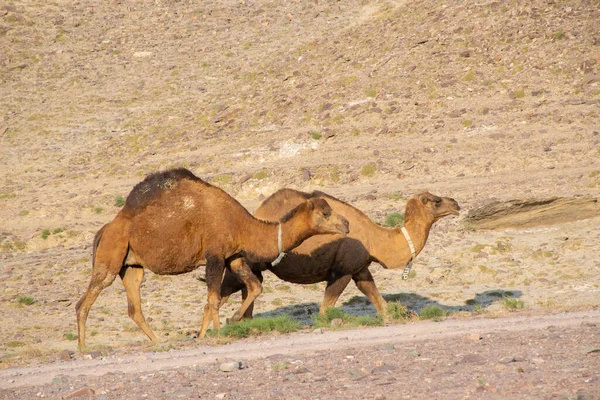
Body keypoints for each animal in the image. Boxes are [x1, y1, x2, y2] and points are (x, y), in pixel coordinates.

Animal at [74, 167, 352, 348]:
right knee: (84, 301)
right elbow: (214, 298)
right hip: (110, 256)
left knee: (134, 307)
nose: (346, 224)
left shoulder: (234, 256)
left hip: (132, 266)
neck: (243, 225)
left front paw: (218, 326)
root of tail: (105, 229)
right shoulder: (215, 256)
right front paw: (218, 333)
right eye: (326, 213)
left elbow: (254, 287)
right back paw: (83, 348)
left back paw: (157, 341)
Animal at [219, 190, 460, 322]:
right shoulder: (342, 270)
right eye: (436, 201)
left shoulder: (360, 269)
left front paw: (400, 315)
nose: (456, 203)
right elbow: (325, 309)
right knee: (225, 292)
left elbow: (376, 298)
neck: (375, 240)